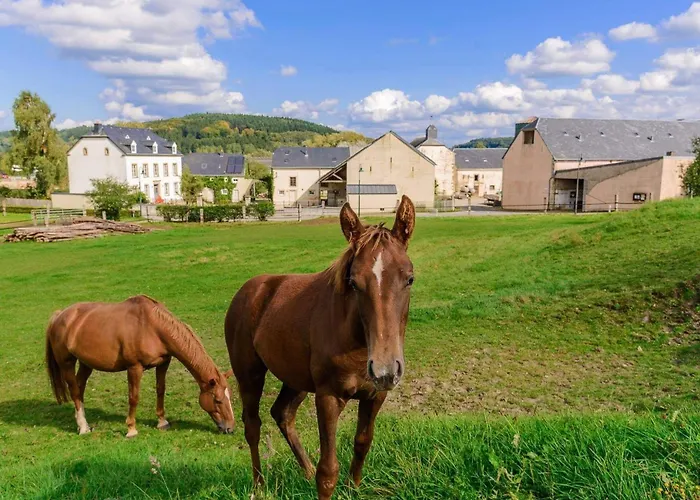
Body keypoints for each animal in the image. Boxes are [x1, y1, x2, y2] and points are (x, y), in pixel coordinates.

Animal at [45, 294, 236, 438]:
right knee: (74, 390)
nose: (230, 428)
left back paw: (82, 423)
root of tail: (60, 316)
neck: (151, 326)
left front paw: (162, 422)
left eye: (230, 397)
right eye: (217, 400)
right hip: (67, 363)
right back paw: (83, 427)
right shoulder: (134, 368)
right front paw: (131, 429)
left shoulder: (164, 363)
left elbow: (160, 390)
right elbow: (133, 397)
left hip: (86, 363)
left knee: (80, 387)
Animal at [225, 195, 416, 499]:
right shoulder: (327, 397)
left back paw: (305, 470)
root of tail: (248, 290)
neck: (357, 345)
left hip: (296, 379)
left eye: (409, 278)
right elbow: (328, 471)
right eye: (354, 282)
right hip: (249, 375)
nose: (385, 369)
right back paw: (259, 485)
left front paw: (353, 488)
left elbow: (362, 444)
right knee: (252, 426)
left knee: (282, 414)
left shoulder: (375, 395)